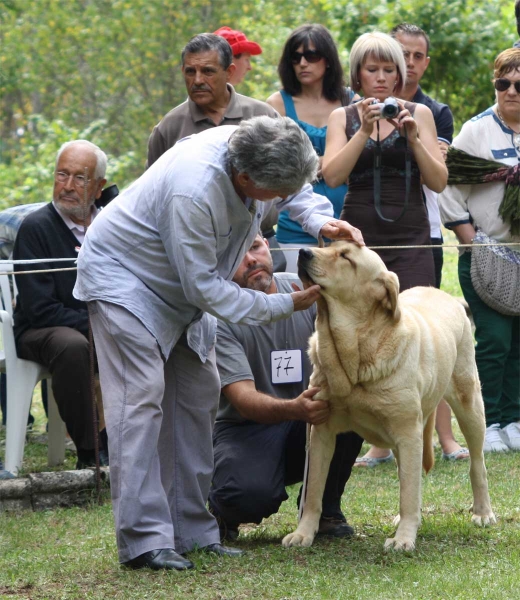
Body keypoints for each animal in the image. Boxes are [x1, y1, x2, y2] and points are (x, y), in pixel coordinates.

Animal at [284, 241, 496, 552]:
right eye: (327, 244)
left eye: (345, 257)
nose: (303, 252)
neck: (356, 355)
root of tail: (446, 295)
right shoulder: (321, 430)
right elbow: (313, 492)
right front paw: (303, 533)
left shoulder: (408, 432)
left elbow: (409, 491)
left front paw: (404, 538)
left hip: (468, 404)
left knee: (477, 464)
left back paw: (483, 513)